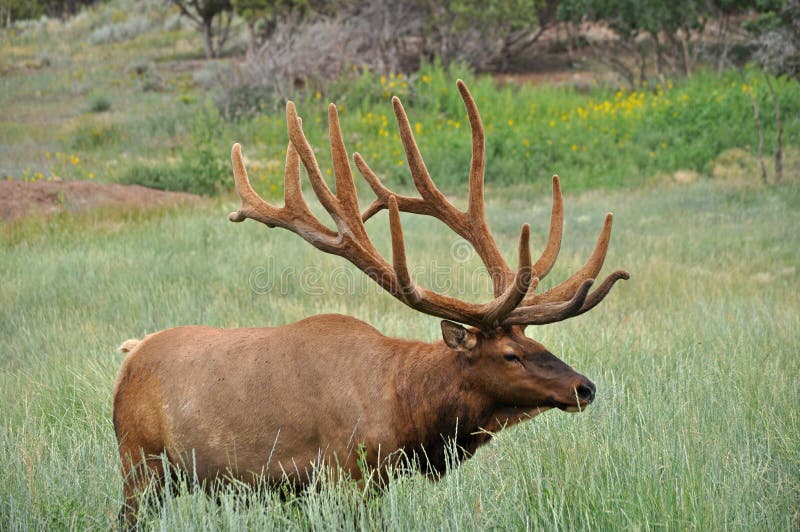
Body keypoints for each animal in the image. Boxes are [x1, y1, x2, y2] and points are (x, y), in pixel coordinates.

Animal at [112, 81, 628, 524]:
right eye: (510, 355)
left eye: (536, 342)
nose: (584, 387)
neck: (405, 410)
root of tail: (130, 355)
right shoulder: (348, 474)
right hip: (140, 464)